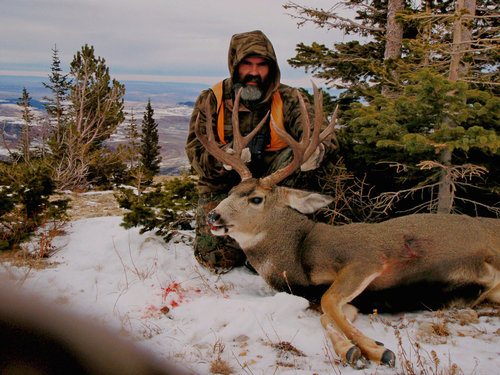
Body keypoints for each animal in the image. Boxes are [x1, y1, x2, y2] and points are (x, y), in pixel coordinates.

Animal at [192, 83, 500, 368]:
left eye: (256, 198)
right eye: (231, 190)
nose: (213, 217)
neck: (297, 255)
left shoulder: (366, 258)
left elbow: (328, 302)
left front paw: (378, 350)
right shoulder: (343, 298)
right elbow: (327, 314)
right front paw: (353, 349)